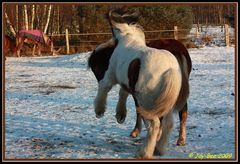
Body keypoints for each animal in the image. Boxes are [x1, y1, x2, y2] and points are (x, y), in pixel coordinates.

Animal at [91, 9, 187, 158]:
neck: (127, 39)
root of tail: (169, 69)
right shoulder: (127, 83)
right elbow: (123, 93)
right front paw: (120, 115)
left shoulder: (109, 77)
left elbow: (104, 89)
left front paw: (99, 111)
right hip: (166, 105)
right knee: (168, 124)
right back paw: (159, 150)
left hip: (147, 104)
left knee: (155, 125)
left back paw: (145, 153)